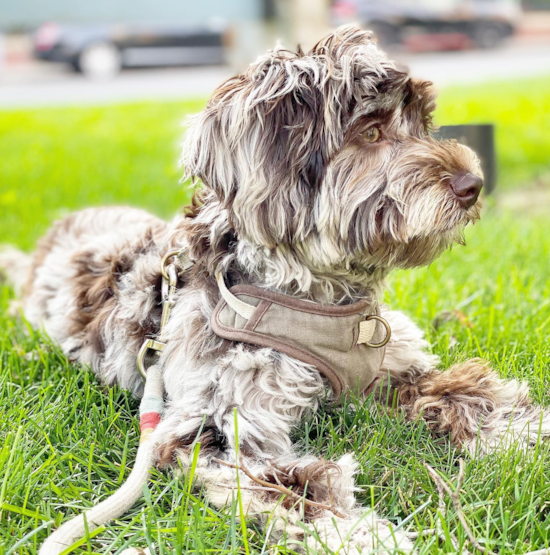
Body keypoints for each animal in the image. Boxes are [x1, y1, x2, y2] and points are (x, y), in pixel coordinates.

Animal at [1, 26, 550, 555]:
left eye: (422, 125)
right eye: (371, 132)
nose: (473, 184)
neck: (319, 295)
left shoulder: (399, 370)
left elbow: (472, 394)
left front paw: (526, 434)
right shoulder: (215, 428)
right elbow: (294, 487)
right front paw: (357, 534)